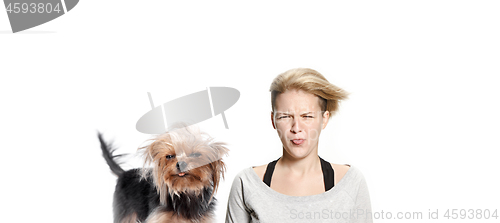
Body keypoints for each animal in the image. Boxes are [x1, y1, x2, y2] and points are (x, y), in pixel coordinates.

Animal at [97, 126, 229, 222]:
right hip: (125, 212)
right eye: (169, 156)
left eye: (195, 155)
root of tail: (124, 173)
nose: (181, 164)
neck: (185, 191)